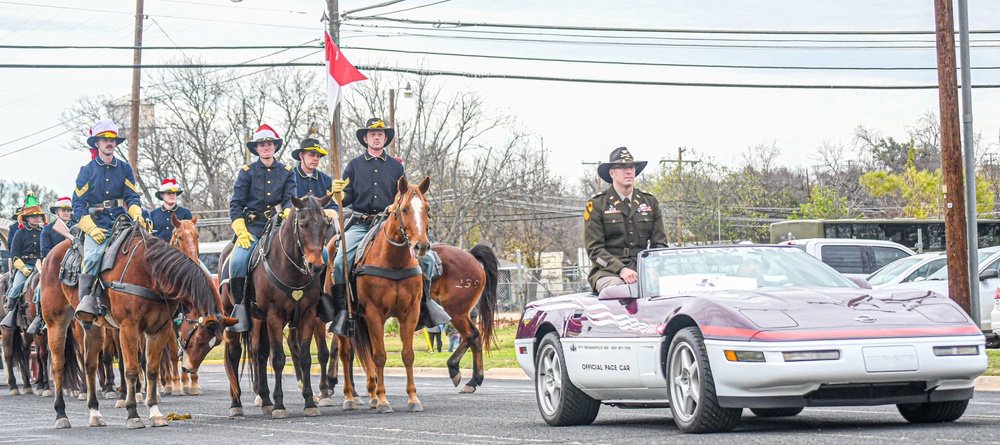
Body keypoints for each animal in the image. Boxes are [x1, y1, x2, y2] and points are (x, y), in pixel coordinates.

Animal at [40, 229, 232, 426]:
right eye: (199, 338)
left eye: (216, 343)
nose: (189, 368)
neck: (152, 273)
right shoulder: (128, 327)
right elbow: (131, 369)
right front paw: (133, 413)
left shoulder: (159, 329)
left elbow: (152, 369)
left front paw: (155, 412)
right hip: (56, 322)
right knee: (58, 365)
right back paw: (61, 414)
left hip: (94, 328)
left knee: (90, 365)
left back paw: (95, 413)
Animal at [222, 193, 332, 418]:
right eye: (303, 224)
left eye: (326, 224)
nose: (316, 266)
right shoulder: (275, 316)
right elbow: (279, 358)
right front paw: (280, 405)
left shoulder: (308, 315)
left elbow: (305, 357)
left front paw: (309, 402)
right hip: (235, 318)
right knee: (234, 354)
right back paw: (236, 403)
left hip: (261, 320)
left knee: (260, 353)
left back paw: (265, 400)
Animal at [352, 175, 430, 412]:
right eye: (404, 209)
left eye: (427, 209)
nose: (422, 246)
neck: (394, 261)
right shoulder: (374, 314)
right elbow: (379, 356)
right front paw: (383, 399)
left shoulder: (410, 313)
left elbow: (408, 355)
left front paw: (413, 398)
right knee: (344, 353)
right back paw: (350, 397)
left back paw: (370, 393)